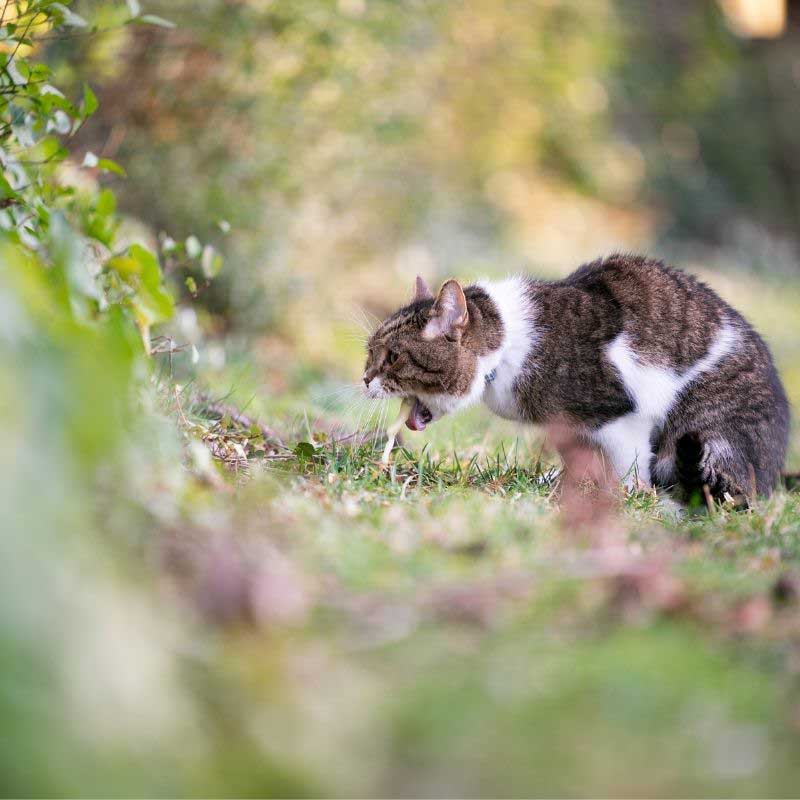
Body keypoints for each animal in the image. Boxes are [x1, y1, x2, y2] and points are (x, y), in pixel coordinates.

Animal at [366, 253, 792, 504]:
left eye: (392, 357)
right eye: (369, 352)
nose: (365, 378)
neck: (508, 347)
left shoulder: (622, 417)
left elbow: (628, 469)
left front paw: (624, 498)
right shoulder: (572, 429)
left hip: (708, 430)